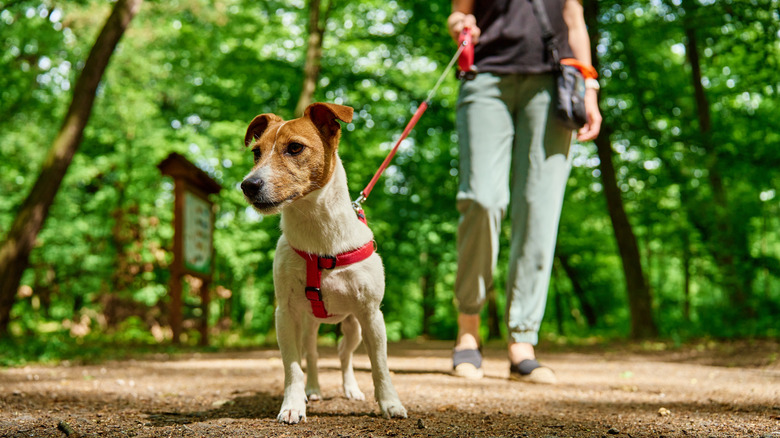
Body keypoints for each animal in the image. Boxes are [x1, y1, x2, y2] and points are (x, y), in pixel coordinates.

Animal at [241, 101, 408, 422]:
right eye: (256, 152)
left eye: (294, 148)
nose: (248, 185)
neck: (319, 237)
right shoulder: (285, 315)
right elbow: (293, 367)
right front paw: (293, 405)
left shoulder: (372, 315)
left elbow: (380, 366)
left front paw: (390, 403)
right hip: (308, 324)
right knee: (313, 354)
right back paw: (314, 389)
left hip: (355, 326)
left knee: (344, 353)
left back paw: (351, 389)